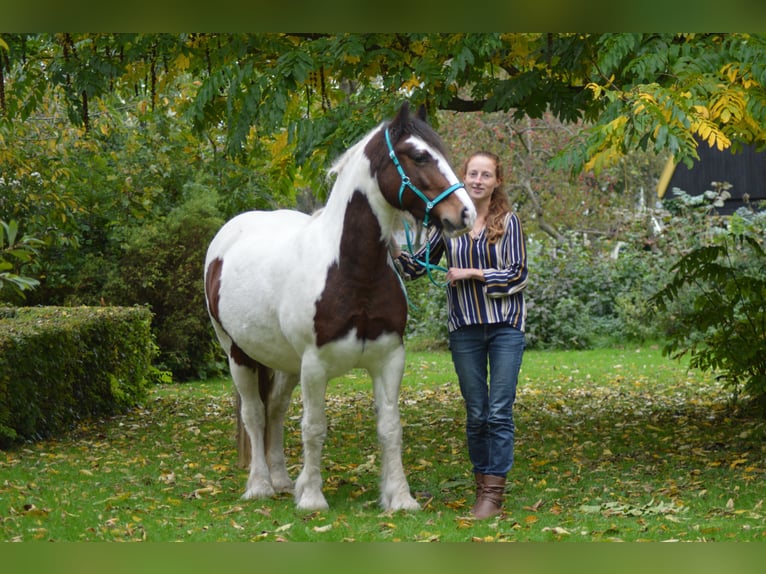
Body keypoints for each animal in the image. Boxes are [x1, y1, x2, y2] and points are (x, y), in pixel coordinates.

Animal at [207, 101, 476, 510]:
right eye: (418, 155)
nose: (466, 214)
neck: (351, 271)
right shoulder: (315, 365)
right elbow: (314, 427)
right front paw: (312, 497)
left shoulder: (389, 359)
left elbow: (390, 427)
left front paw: (400, 497)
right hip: (238, 354)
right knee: (254, 415)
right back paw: (260, 485)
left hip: (285, 363)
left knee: (276, 410)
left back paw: (282, 479)